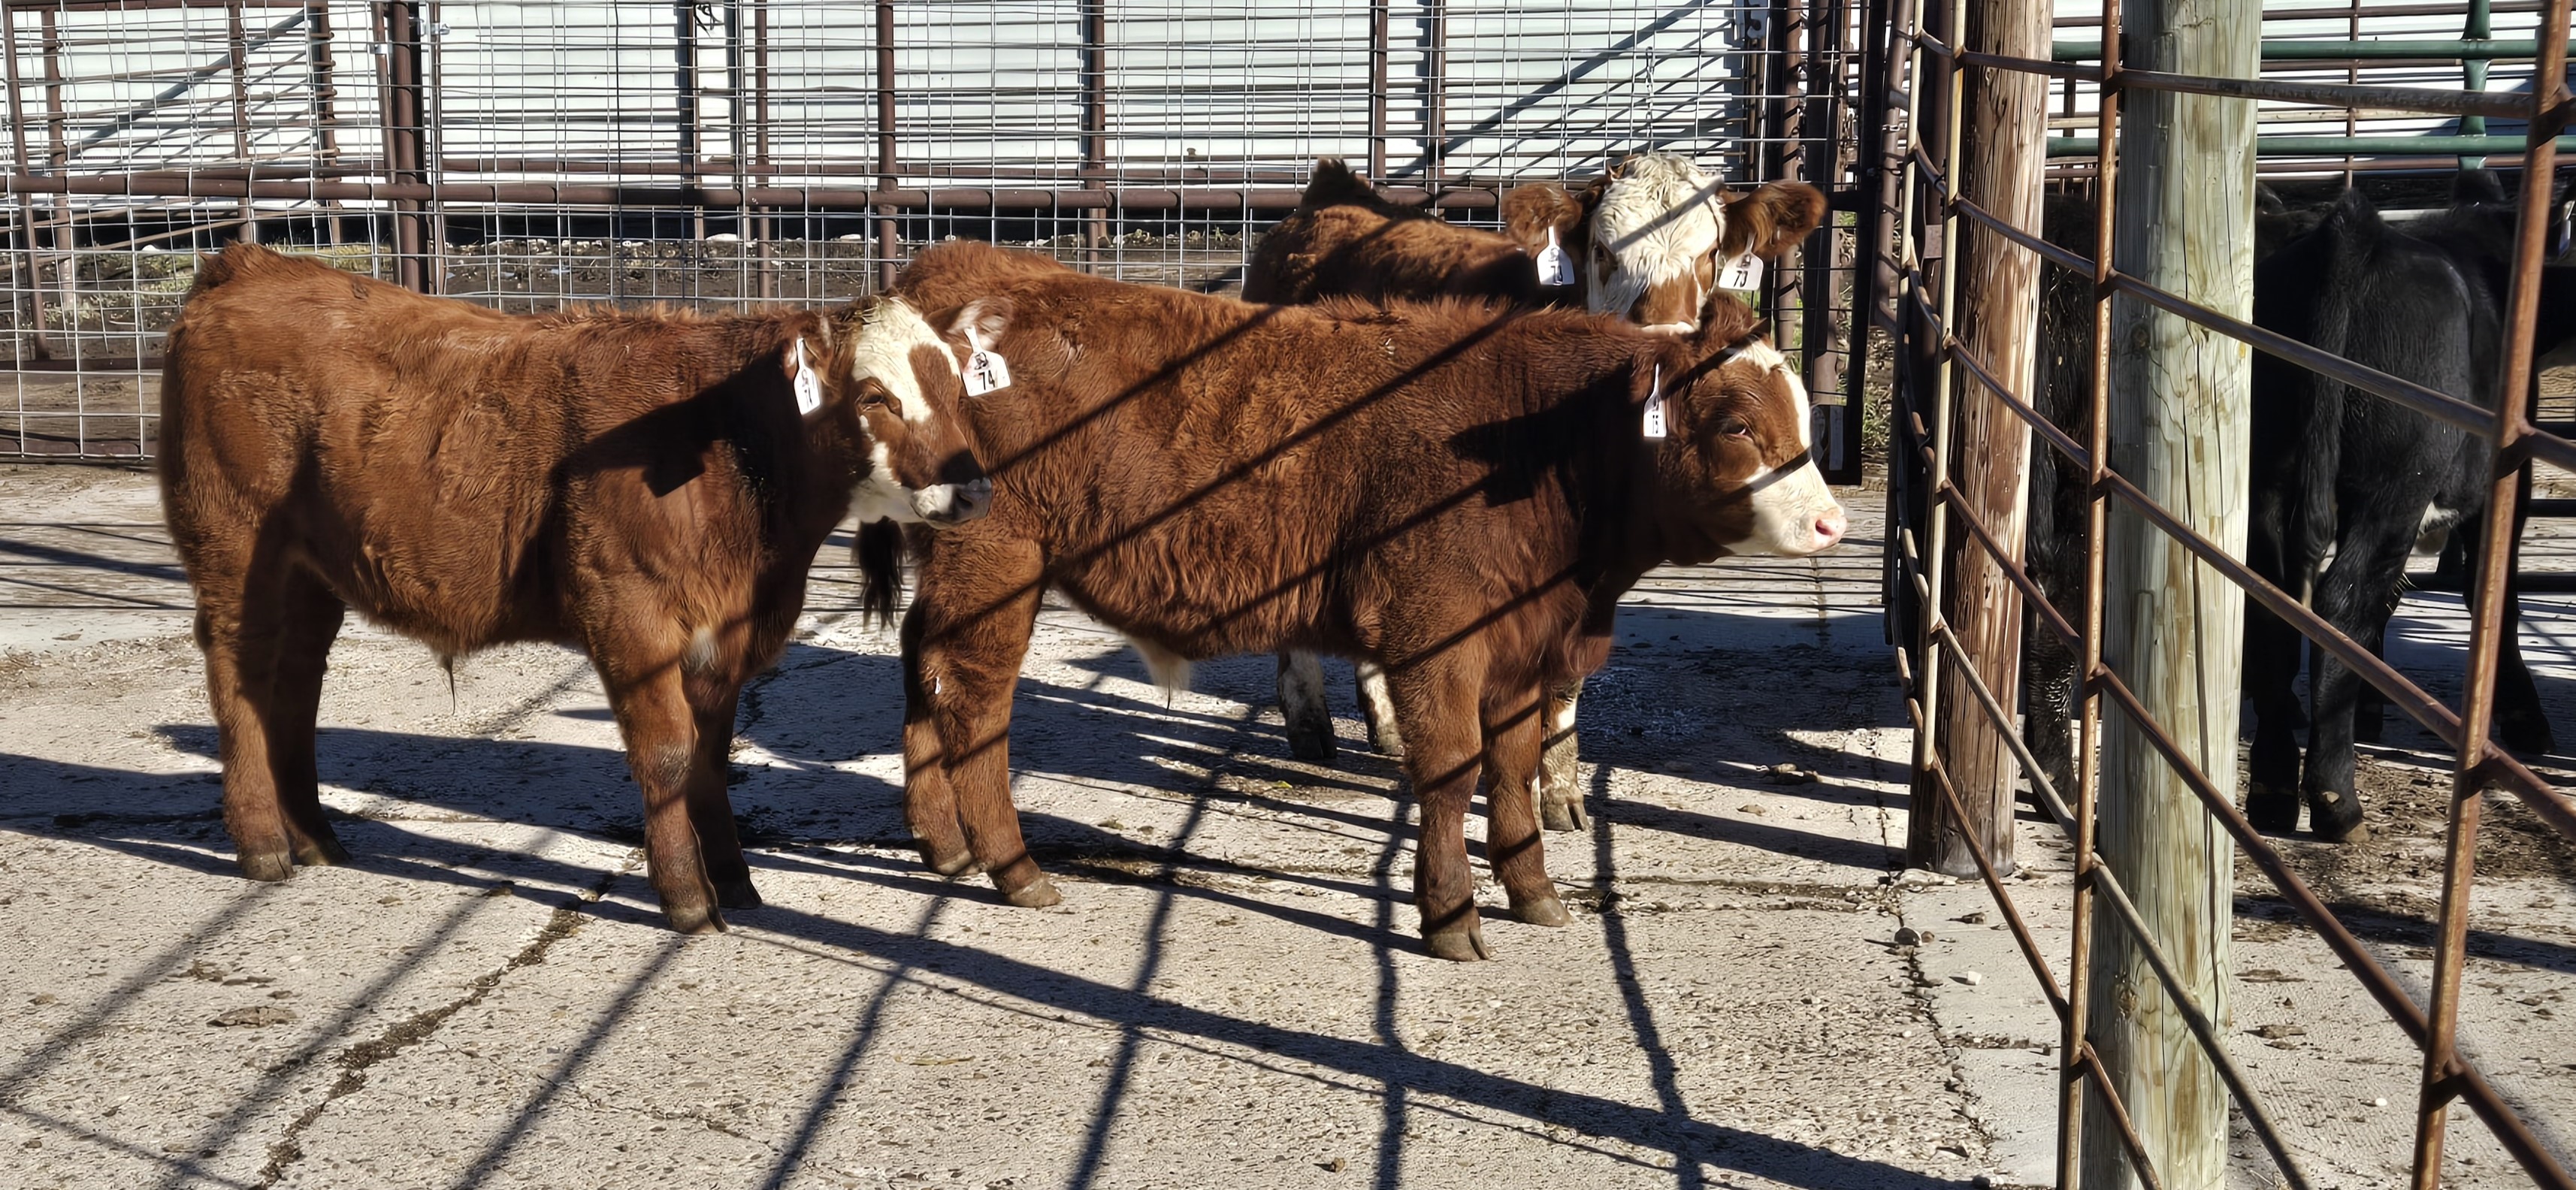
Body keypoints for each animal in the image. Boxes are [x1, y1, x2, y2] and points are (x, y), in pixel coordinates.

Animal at [158, 243, 992, 934]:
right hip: (236, 552)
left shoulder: (724, 634)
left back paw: (315, 835)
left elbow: (710, 755)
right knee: (240, 681)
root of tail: (248, 265)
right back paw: (263, 844)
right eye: (876, 396)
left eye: (957, 386)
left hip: (310, 575)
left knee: (294, 687)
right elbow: (668, 755)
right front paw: (686, 897)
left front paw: (736, 880)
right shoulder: (632, 618)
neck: (725, 445)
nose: (974, 489)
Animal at [869, 240, 1845, 960]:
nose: (1832, 521)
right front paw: (1450, 915)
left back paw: (941, 843)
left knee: (921, 670)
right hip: (994, 561)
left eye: (1798, 410)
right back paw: (1012, 866)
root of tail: (959, 268)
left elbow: (1512, 765)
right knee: (974, 702)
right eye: (1735, 424)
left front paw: (1532, 892)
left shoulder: (1523, 644)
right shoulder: (1435, 633)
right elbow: (1451, 770)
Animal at [1243, 153, 1829, 838]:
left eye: (1710, 254)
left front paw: (1560, 791)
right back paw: (1309, 722)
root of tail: (1334, 193)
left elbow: (1566, 678)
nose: (1668, 333)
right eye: (1602, 251)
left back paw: (1384, 725)